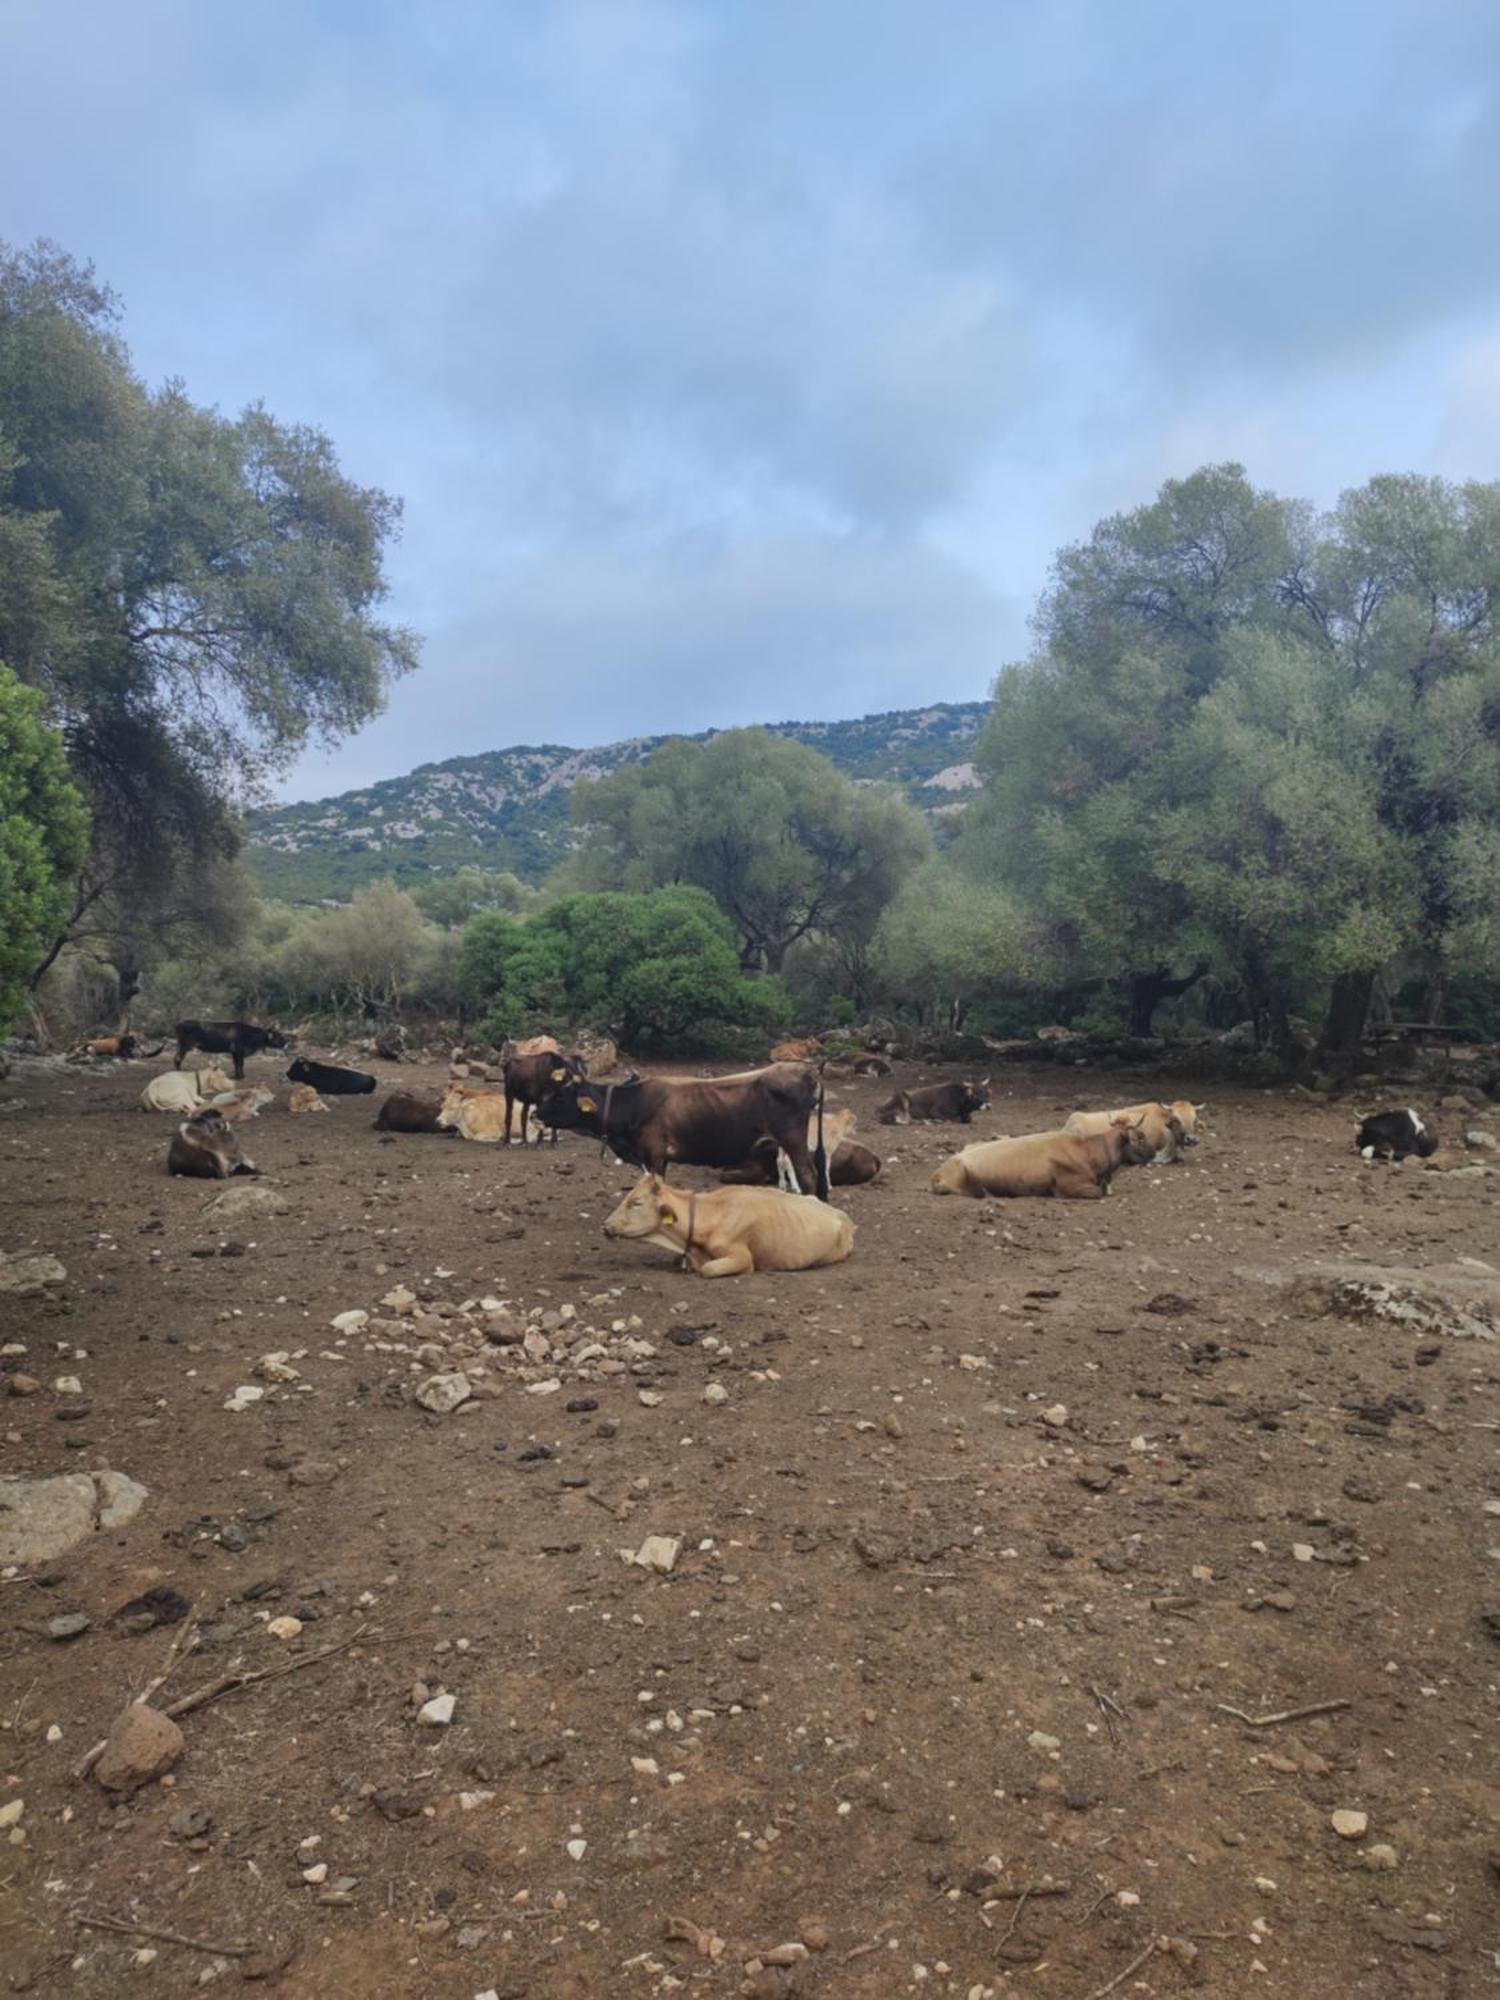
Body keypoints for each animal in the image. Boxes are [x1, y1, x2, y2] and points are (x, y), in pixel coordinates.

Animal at [536, 1064, 836, 1200]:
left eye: (560, 1097)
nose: (536, 1112)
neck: (634, 1104)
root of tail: (805, 1070)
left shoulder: (656, 1156)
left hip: (793, 1139)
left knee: (809, 1174)